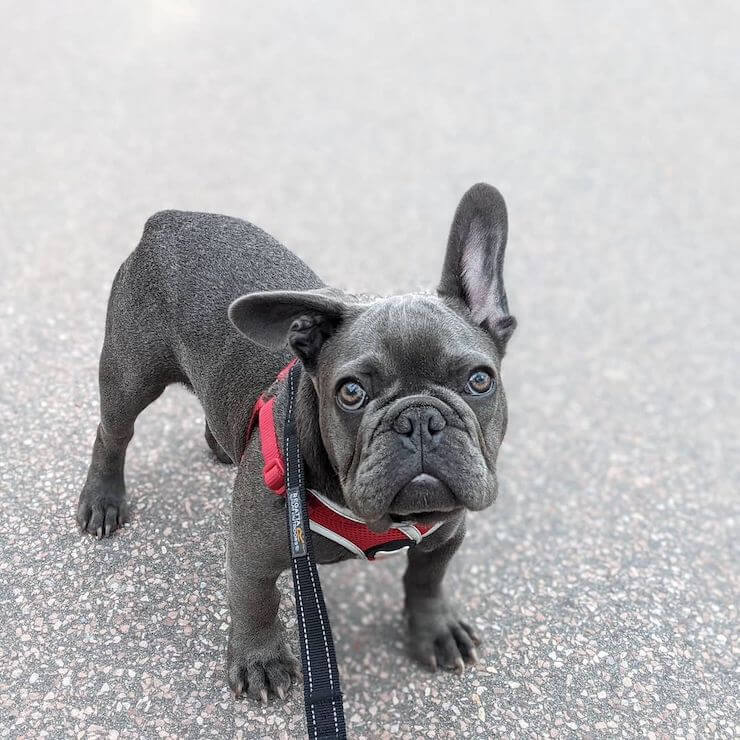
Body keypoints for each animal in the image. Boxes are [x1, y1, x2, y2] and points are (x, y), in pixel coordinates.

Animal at [76, 182, 516, 704]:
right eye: (351, 392)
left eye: (480, 380)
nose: (419, 419)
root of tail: (167, 218)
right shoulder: (252, 552)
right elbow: (257, 601)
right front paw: (261, 660)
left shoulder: (444, 536)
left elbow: (426, 581)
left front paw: (435, 631)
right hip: (130, 376)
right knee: (113, 433)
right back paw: (103, 499)